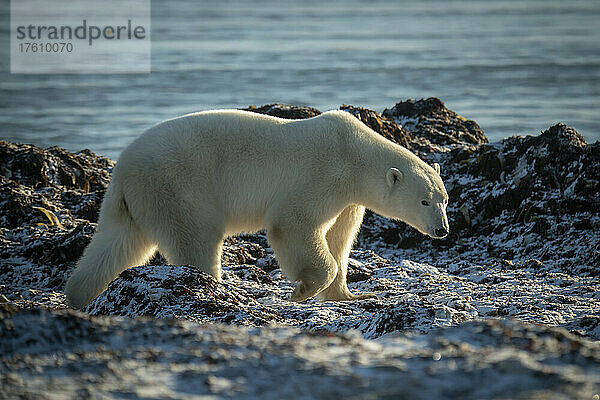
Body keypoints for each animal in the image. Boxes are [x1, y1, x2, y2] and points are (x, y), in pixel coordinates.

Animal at [65, 110, 450, 310]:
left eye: (444, 199)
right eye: (424, 201)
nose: (442, 230)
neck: (355, 152)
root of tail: (121, 170)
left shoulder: (349, 199)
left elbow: (340, 238)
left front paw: (352, 294)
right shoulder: (323, 174)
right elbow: (292, 223)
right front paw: (302, 290)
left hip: (136, 201)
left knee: (117, 245)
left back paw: (78, 295)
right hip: (177, 186)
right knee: (197, 238)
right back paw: (215, 289)